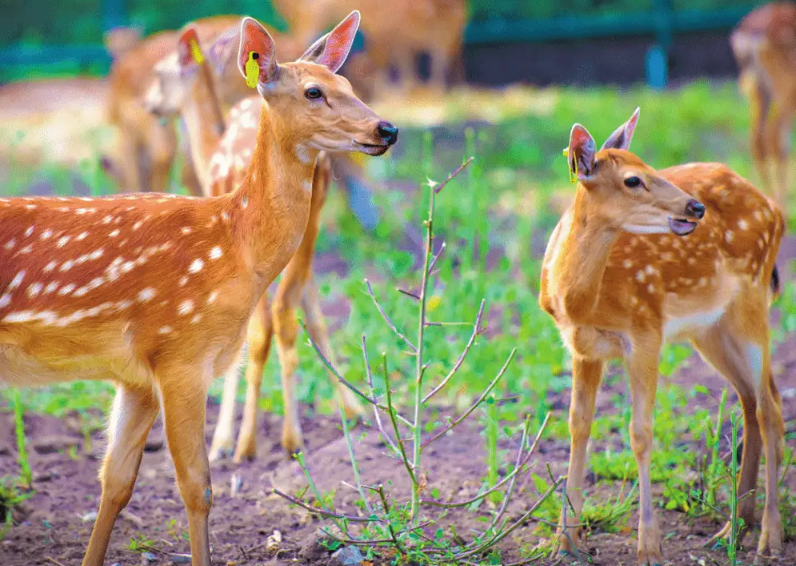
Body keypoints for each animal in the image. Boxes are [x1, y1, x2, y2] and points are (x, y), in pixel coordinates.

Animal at [145, 20, 396, 460]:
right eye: (319, 89)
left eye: (160, 74)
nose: (150, 105)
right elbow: (312, 312)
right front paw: (353, 409)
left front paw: (225, 439)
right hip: (312, 224)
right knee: (289, 312)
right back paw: (295, 435)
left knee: (266, 323)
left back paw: (251, 442)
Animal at [536, 108, 788, 564]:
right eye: (633, 180)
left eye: (650, 167)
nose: (695, 206)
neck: (582, 301)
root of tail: (775, 209)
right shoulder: (582, 347)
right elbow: (578, 425)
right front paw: (566, 539)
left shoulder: (645, 331)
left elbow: (640, 434)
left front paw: (648, 546)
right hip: (709, 328)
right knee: (752, 398)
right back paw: (733, 528)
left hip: (753, 300)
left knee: (769, 409)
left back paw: (768, 537)